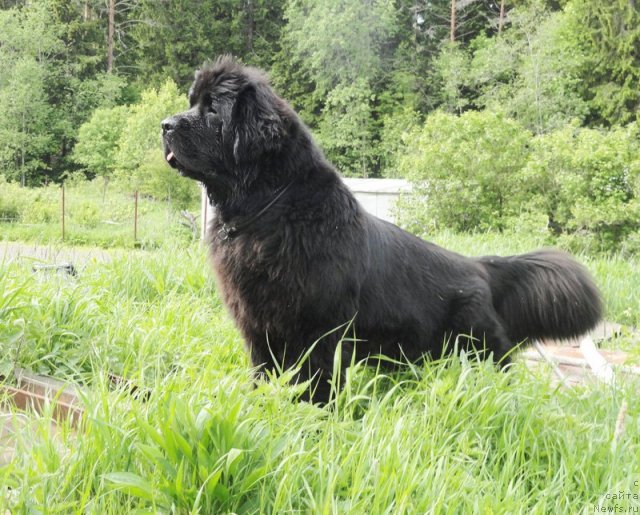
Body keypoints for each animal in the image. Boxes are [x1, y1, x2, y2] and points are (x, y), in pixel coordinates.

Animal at [162, 55, 604, 404]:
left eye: (212, 111)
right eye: (191, 103)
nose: (165, 124)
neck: (270, 210)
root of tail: (479, 266)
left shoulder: (320, 331)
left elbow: (317, 383)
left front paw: (314, 418)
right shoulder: (260, 328)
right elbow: (265, 375)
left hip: (477, 350)